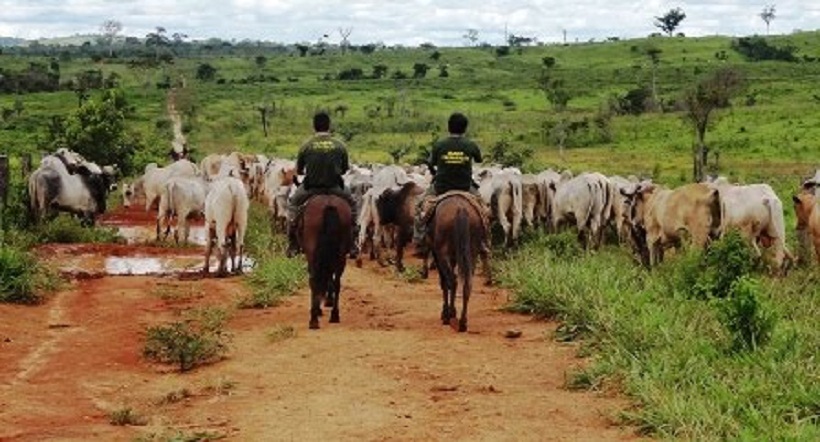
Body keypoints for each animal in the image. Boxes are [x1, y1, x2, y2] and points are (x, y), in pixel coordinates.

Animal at [302, 193, 352, 328]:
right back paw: (334, 315)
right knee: (337, 282)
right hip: (340, 254)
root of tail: (329, 204)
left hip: (312, 253)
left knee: (314, 281)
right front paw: (328, 300)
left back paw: (314, 319)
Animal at [420, 193, 490, 332]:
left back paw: (449, 316)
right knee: (467, 284)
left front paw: (445, 313)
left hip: (443, 255)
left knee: (453, 281)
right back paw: (463, 321)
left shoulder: (438, 256)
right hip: (472, 254)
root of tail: (461, 209)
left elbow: (444, 283)